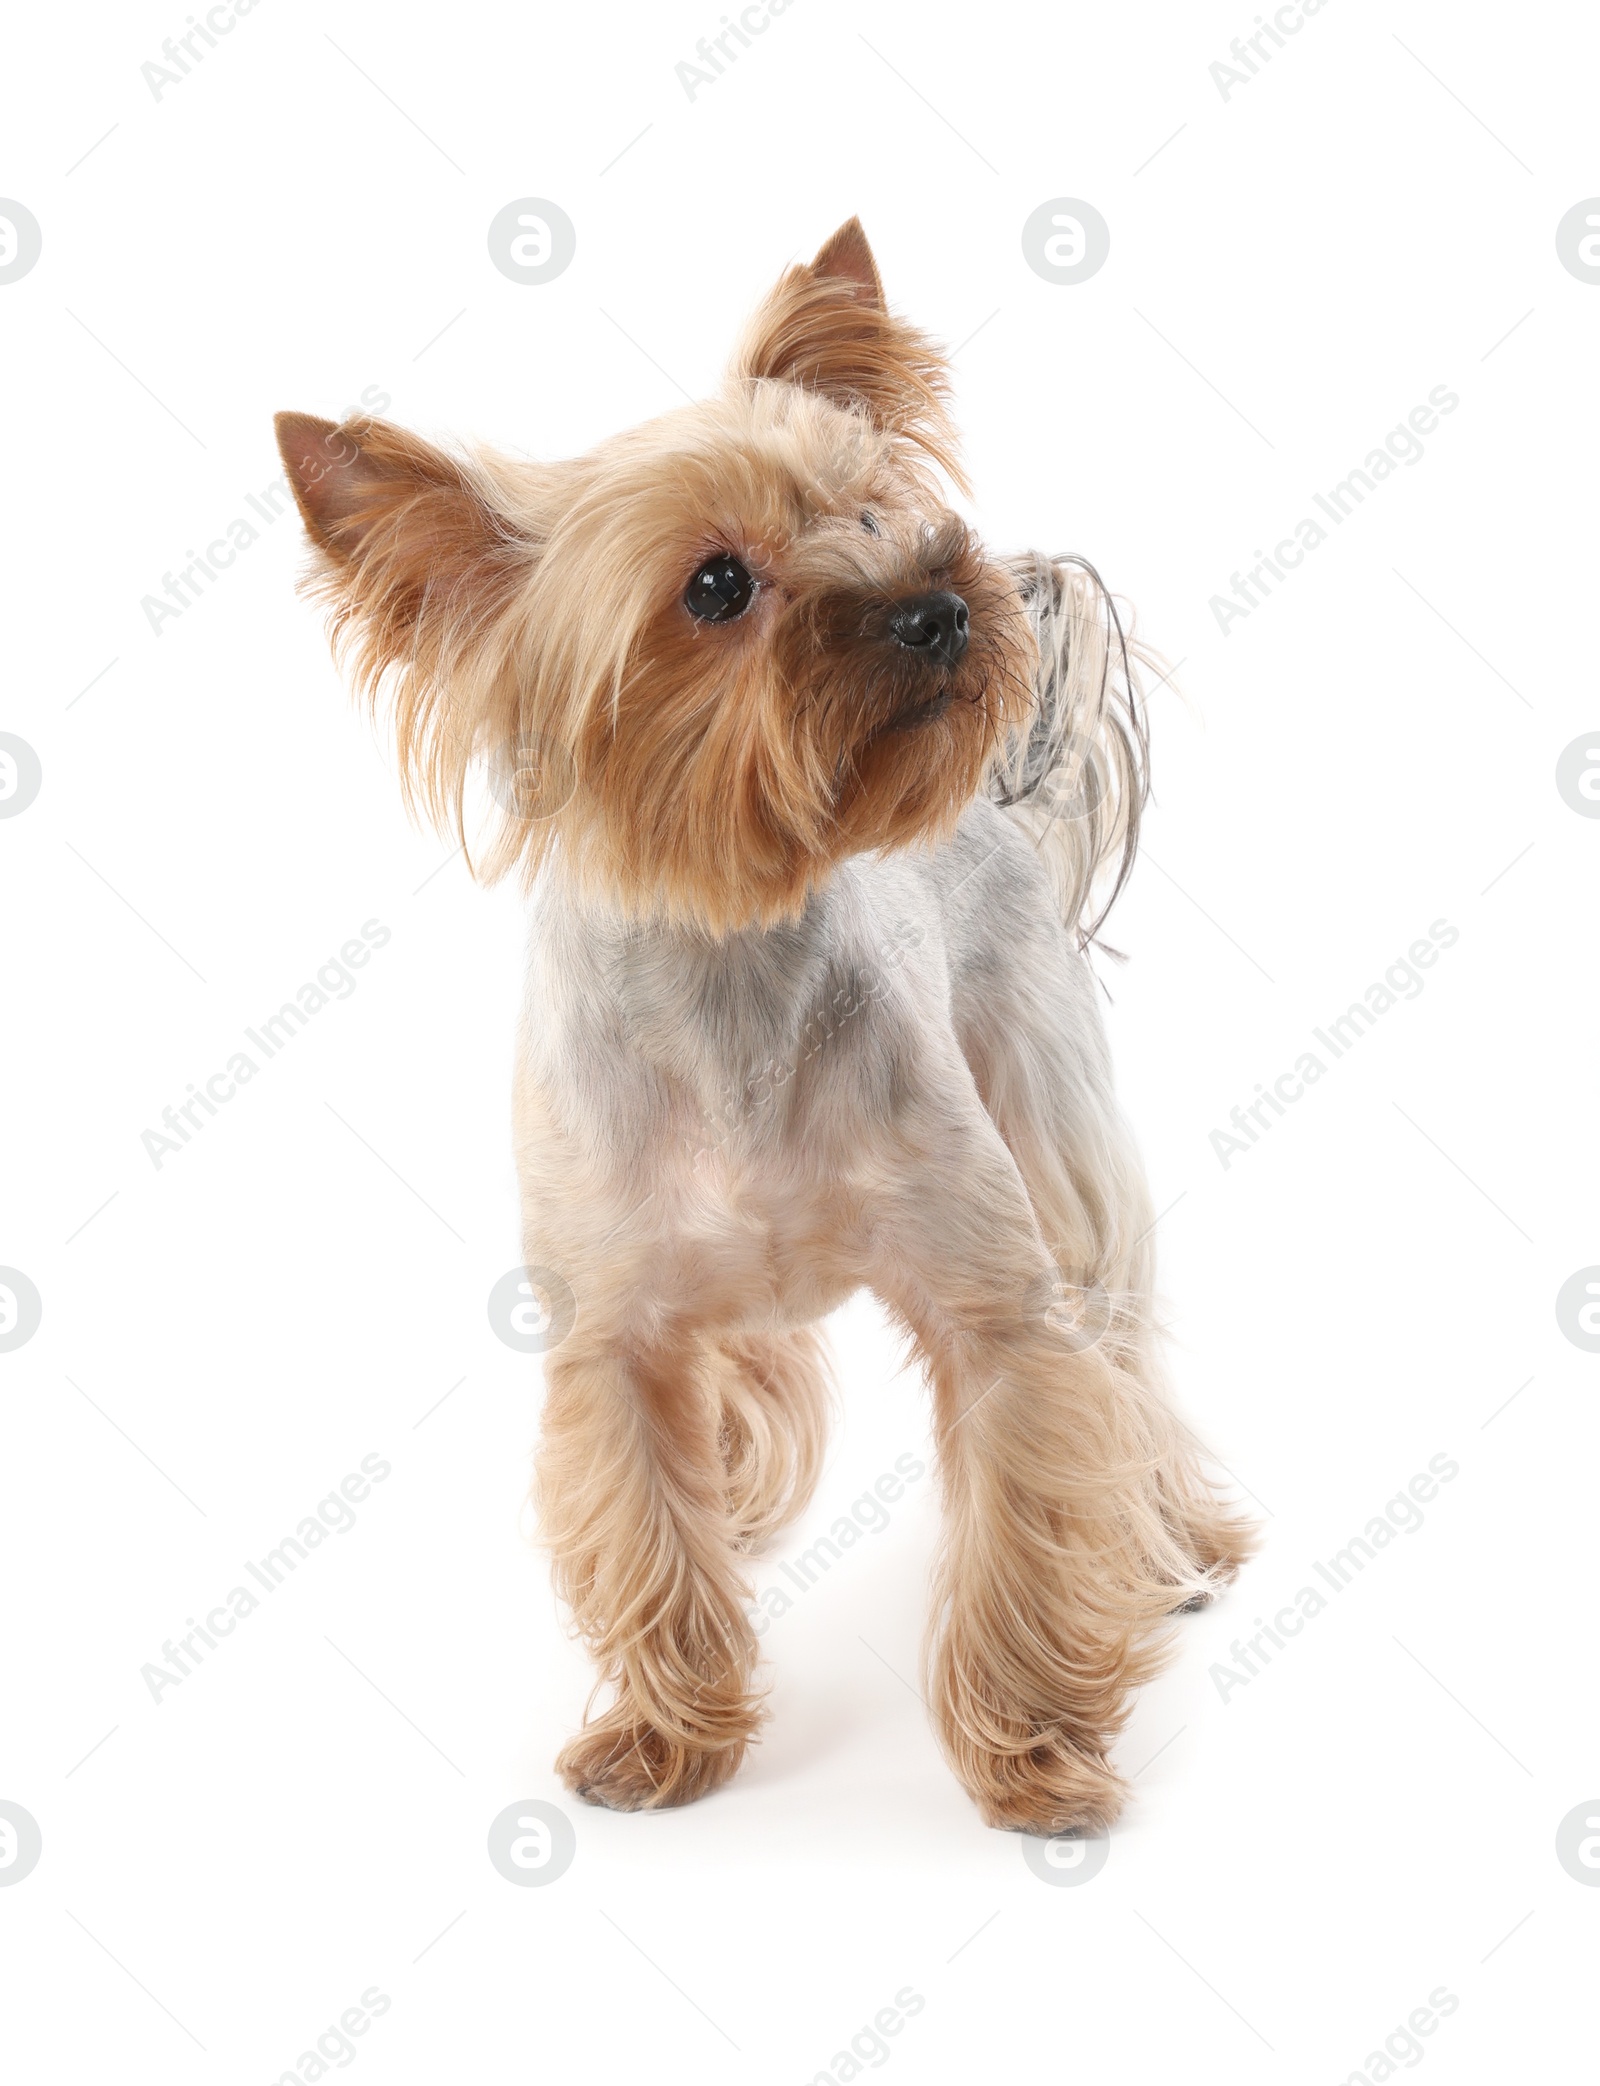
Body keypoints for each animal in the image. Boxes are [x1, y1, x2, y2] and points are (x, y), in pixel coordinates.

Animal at [271, 220, 1251, 1835]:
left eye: (872, 507)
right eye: (717, 585)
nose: (940, 600)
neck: (733, 951)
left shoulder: (997, 1305)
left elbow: (1031, 1512)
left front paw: (1034, 1752)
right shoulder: (612, 1336)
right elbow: (647, 1522)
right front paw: (666, 1734)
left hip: (1055, 1123)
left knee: (1120, 1350)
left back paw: (1171, 1539)